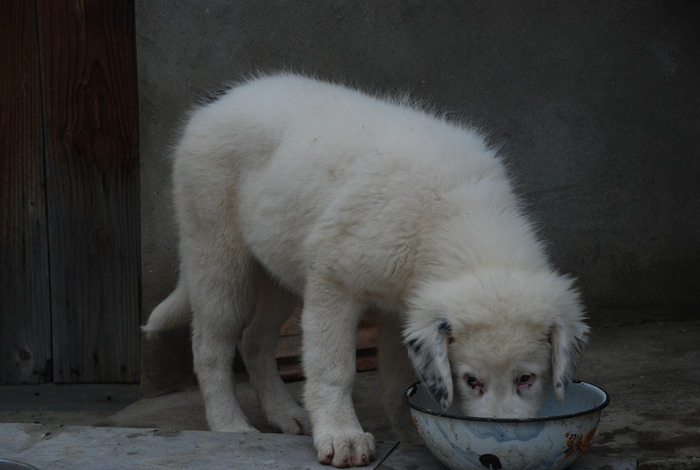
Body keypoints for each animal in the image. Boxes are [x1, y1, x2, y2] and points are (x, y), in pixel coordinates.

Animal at [145, 73, 588, 466]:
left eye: (526, 379)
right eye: (471, 381)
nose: (501, 438)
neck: (450, 221)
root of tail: (218, 99)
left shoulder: (406, 312)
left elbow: (399, 382)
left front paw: (413, 435)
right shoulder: (332, 282)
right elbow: (333, 368)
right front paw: (342, 436)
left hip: (278, 265)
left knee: (254, 339)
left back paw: (286, 413)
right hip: (216, 254)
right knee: (211, 346)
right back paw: (229, 426)